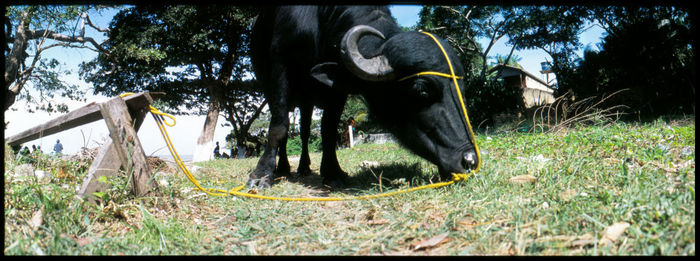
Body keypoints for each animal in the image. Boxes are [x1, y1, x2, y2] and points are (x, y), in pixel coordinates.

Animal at [246, 5, 482, 189]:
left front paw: (333, 173)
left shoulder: (337, 90)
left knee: (304, 132)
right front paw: (262, 174)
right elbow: (279, 127)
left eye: (461, 88)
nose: (469, 160)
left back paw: (304, 166)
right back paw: (284, 167)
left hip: (307, 102)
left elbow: (329, 130)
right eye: (421, 89)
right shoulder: (279, 67)